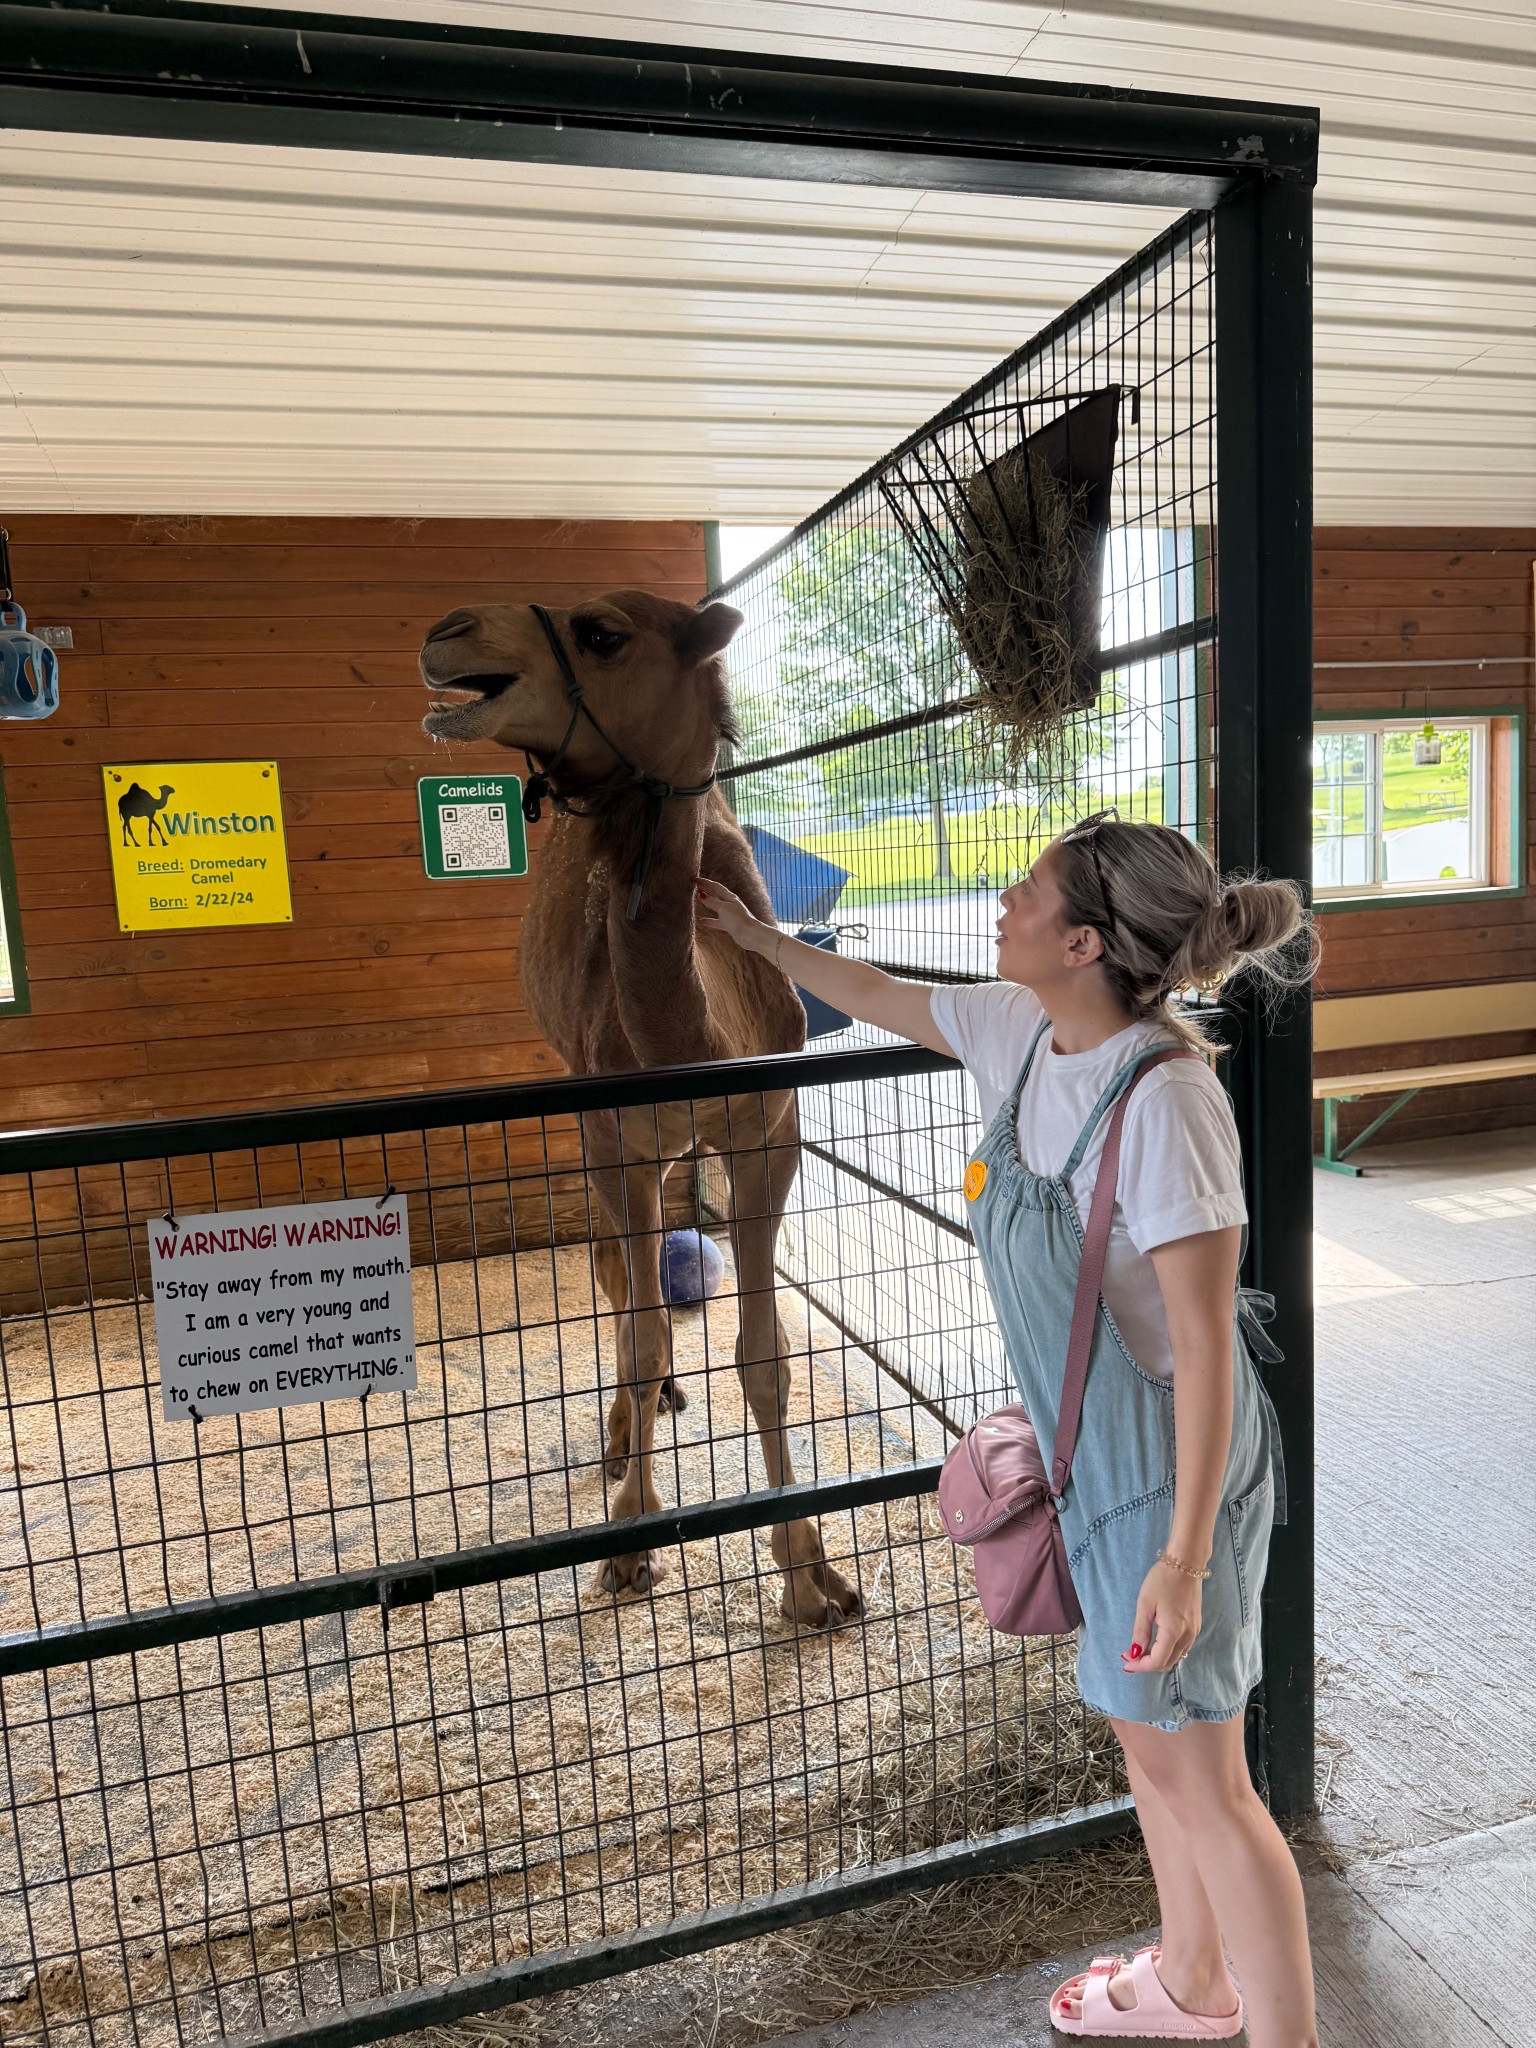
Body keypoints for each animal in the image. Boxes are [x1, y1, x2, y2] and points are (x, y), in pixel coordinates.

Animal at [418, 591, 862, 1630]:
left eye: (602, 633)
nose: (447, 632)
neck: (691, 1035)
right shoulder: (614, 1134)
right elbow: (650, 1319)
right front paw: (629, 1538)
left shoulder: (768, 1136)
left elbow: (763, 1354)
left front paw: (809, 1574)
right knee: (620, 1279)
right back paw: (628, 1427)